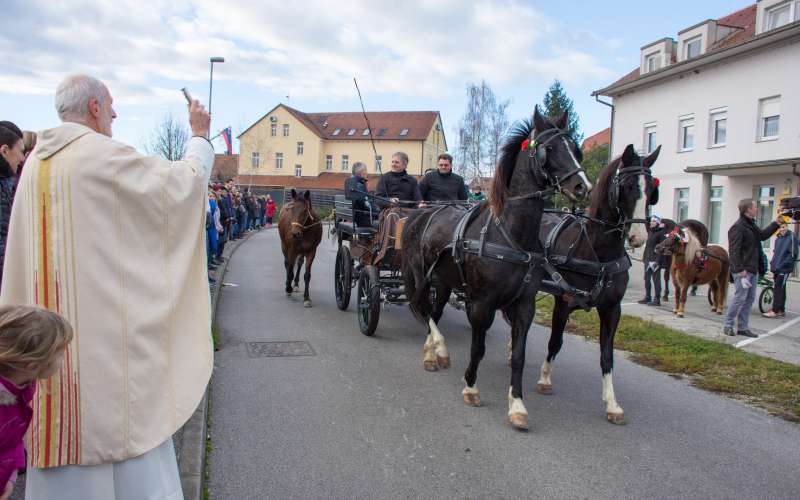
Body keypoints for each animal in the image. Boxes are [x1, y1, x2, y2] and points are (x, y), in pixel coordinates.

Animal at [400, 106, 592, 430]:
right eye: (549, 149)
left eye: (576, 149)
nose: (582, 187)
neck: (511, 234)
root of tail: (422, 214)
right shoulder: (481, 303)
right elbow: (478, 348)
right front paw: (470, 387)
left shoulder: (524, 304)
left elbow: (519, 356)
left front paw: (517, 405)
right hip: (422, 276)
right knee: (423, 309)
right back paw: (438, 347)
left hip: (444, 282)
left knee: (434, 312)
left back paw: (433, 353)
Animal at [532, 143, 664, 424]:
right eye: (625, 187)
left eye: (651, 190)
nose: (639, 237)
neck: (596, 251)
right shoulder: (564, 301)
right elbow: (555, 342)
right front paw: (545, 378)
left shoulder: (612, 309)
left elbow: (607, 356)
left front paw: (612, 403)